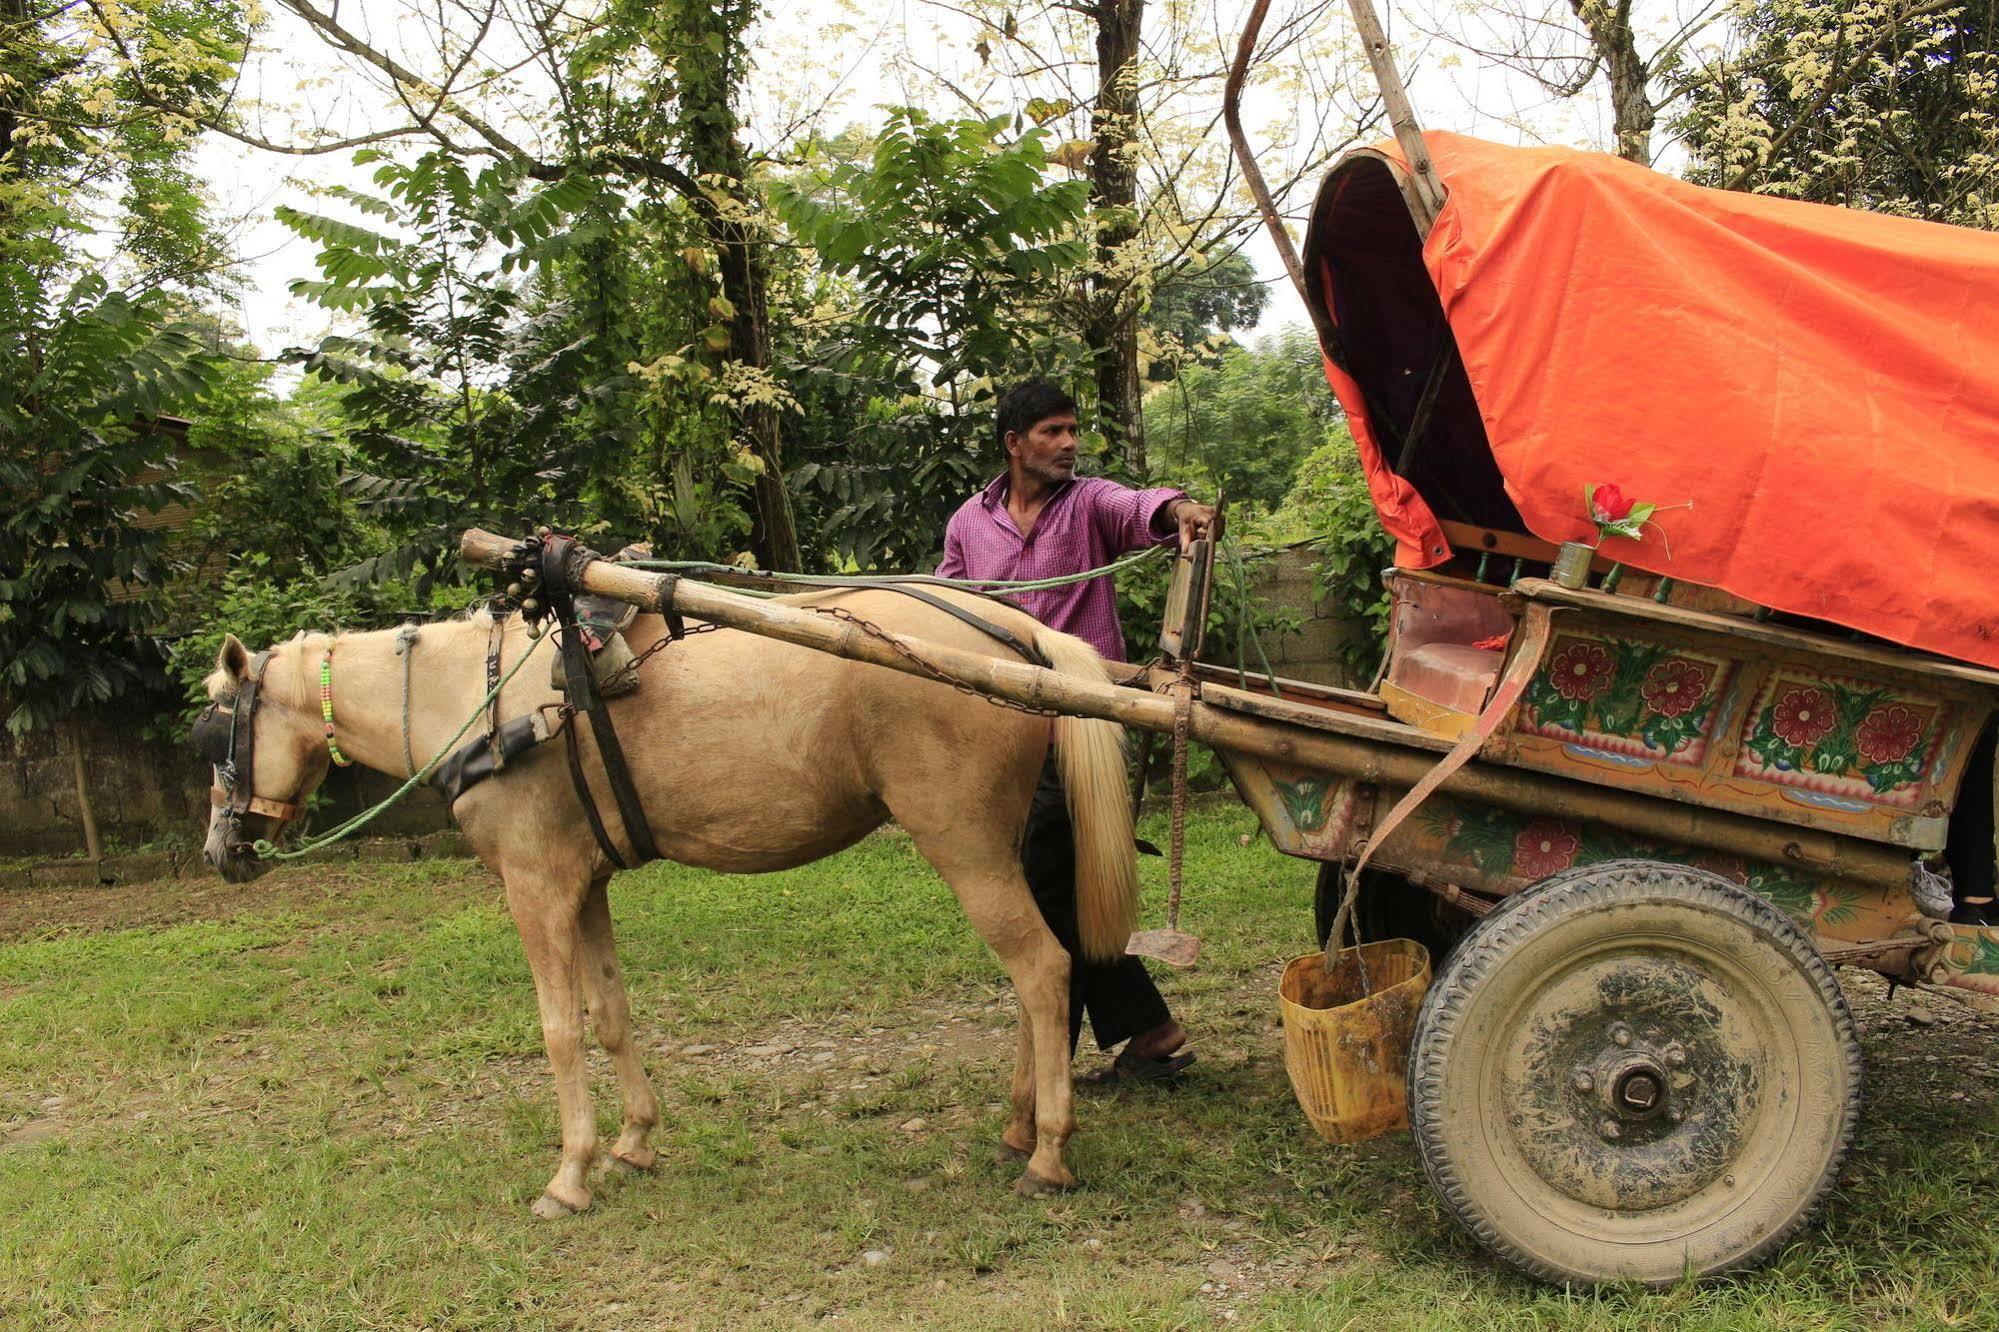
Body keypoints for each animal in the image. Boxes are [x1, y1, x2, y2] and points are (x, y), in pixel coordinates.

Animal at [204, 592, 1151, 1216]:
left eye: (213, 731)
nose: (221, 852)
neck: (476, 696)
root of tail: (1016, 632)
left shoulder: (536, 885)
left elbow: (558, 1030)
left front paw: (570, 1174)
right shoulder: (584, 882)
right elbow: (610, 1014)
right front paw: (633, 1141)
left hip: (960, 839)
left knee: (1040, 967)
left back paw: (1048, 1150)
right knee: (1038, 974)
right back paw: (1020, 1124)